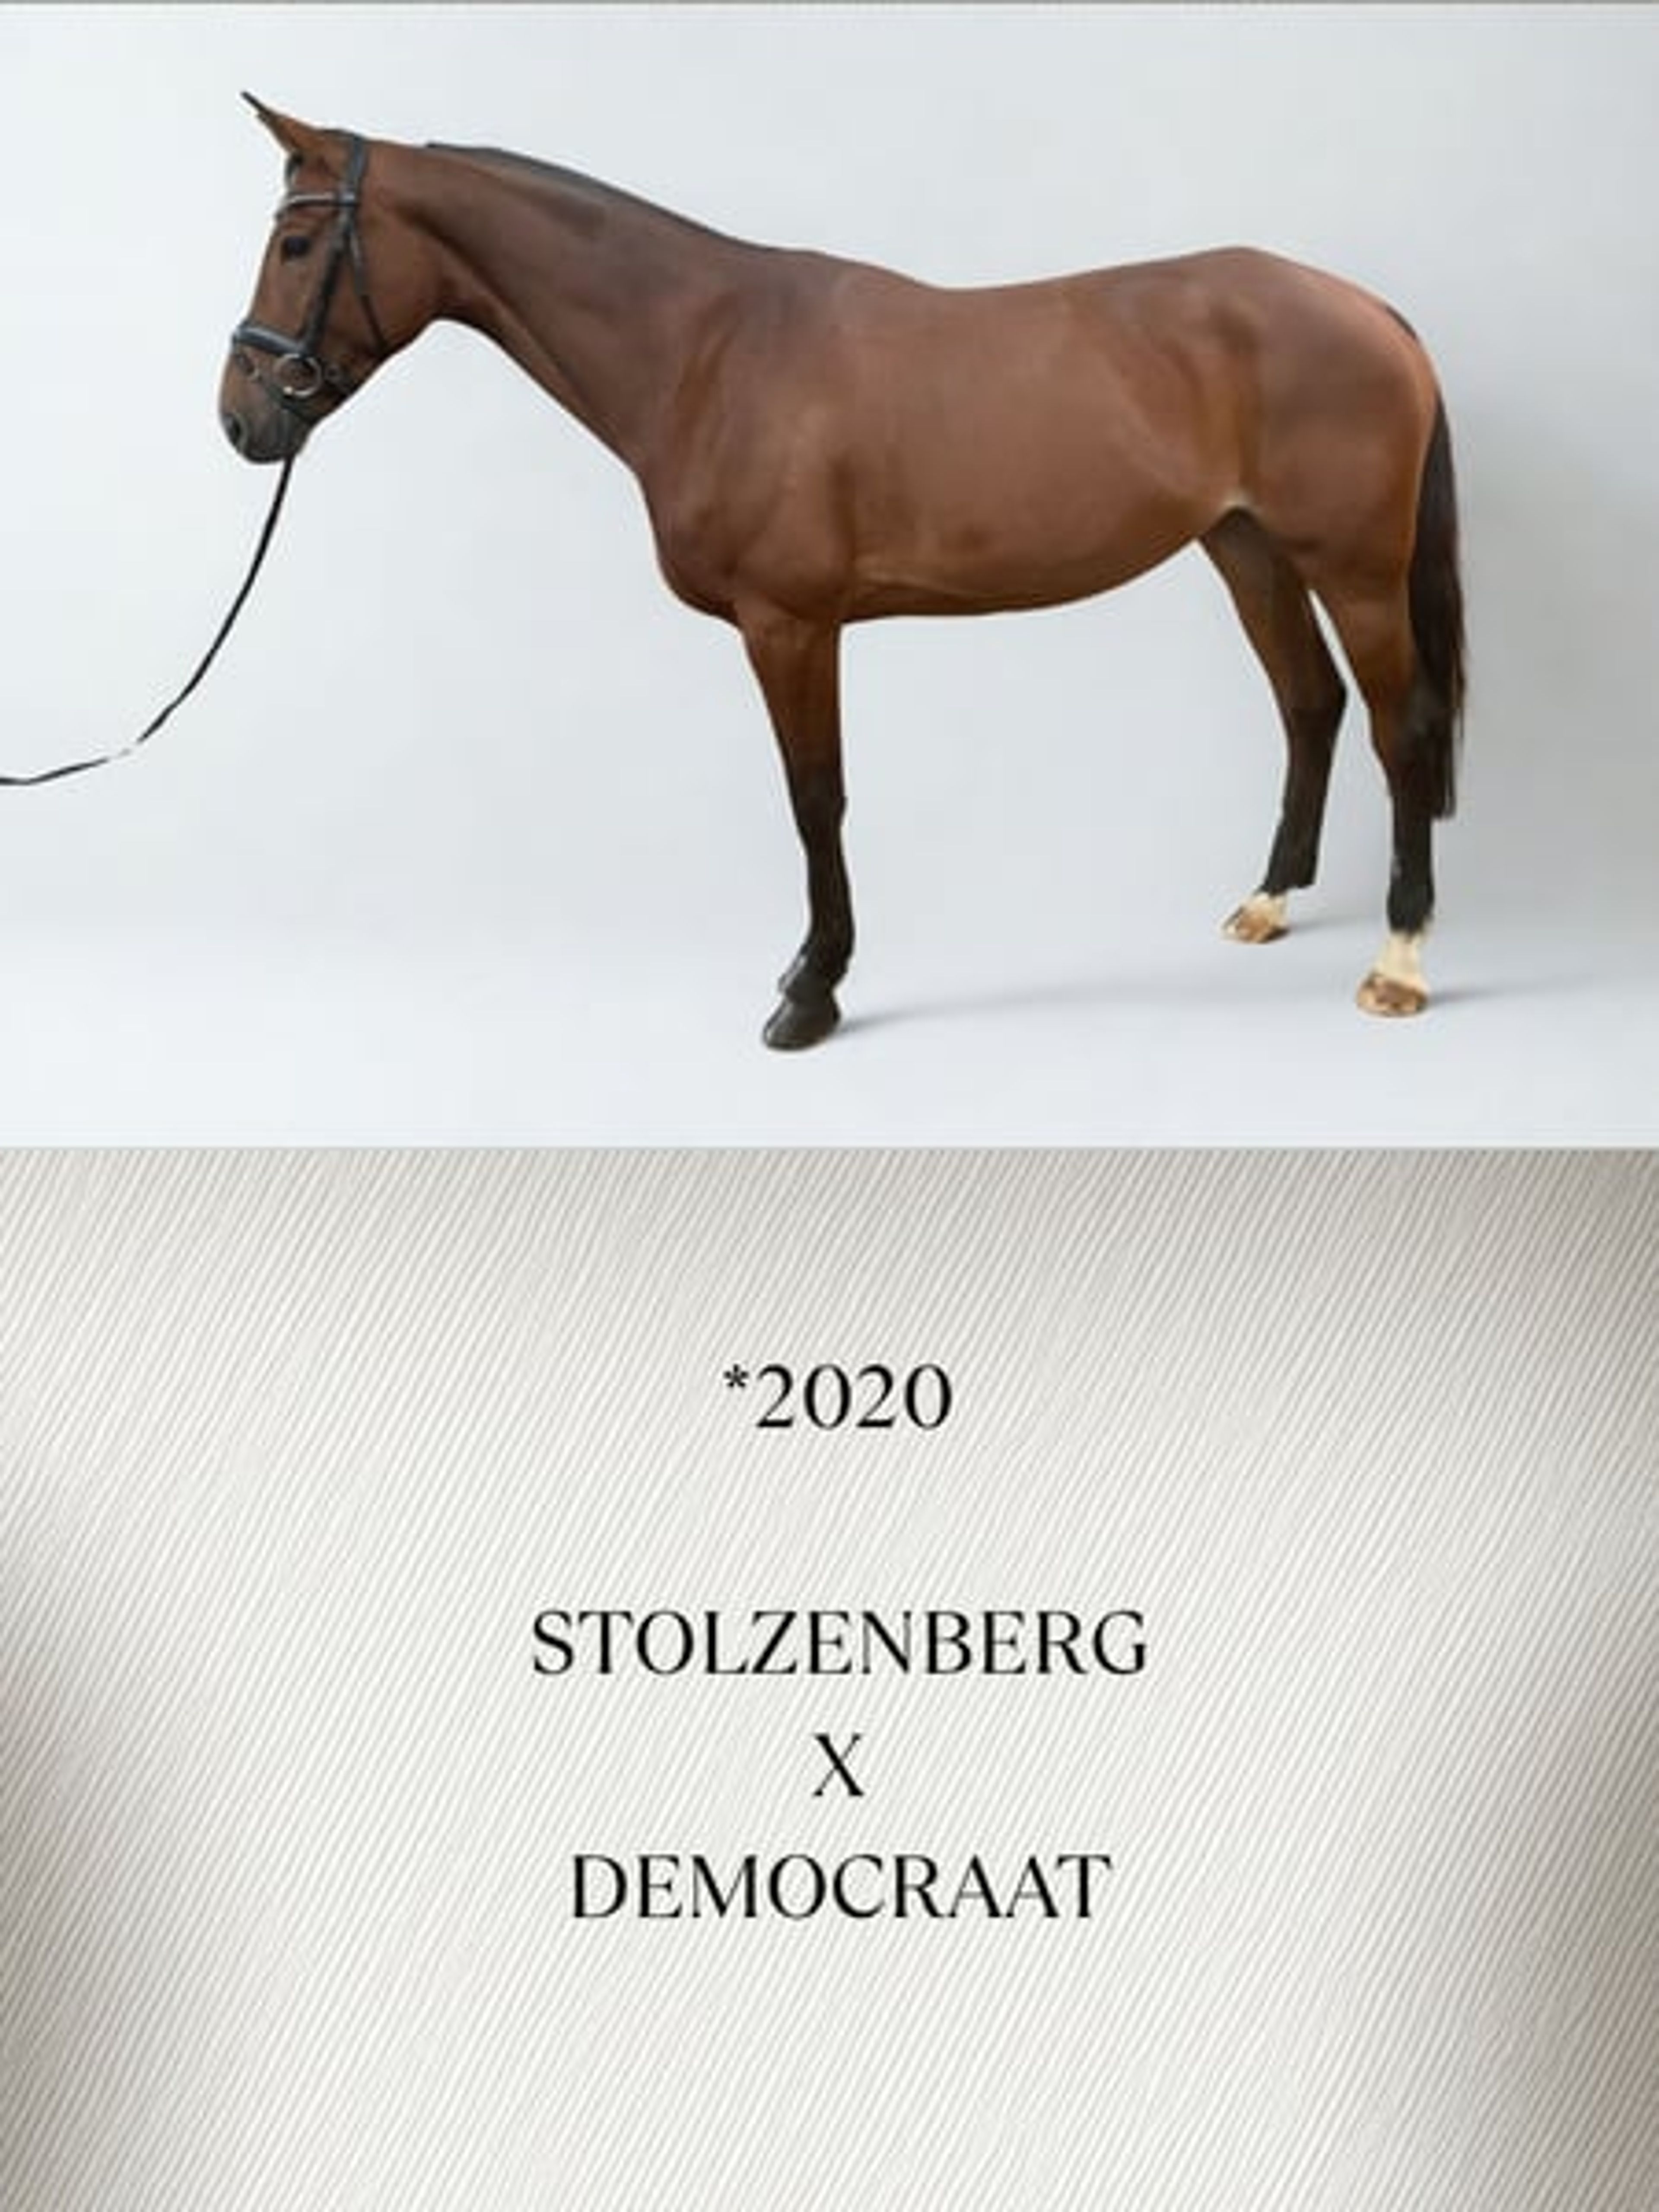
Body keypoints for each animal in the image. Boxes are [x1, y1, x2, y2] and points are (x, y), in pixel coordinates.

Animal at [221, 98, 1466, 1050]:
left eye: (295, 247)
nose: (241, 419)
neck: (707, 351)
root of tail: (1371, 312)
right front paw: (806, 975)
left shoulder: (791, 624)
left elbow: (815, 796)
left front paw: (811, 991)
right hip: (1248, 550)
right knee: (1310, 704)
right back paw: (1267, 903)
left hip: (1355, 569)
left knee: (1399, 727)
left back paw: (1400, 962)